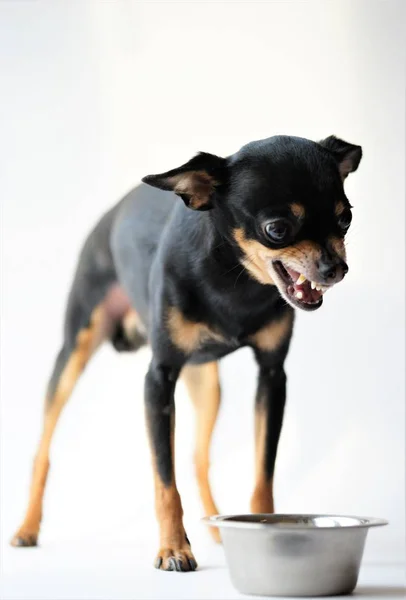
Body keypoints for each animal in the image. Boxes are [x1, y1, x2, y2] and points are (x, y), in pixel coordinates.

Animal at [11, 135, 362, 572]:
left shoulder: (271, 375)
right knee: (43, 450)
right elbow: (165, 480)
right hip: (74, 352)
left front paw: (265, 532)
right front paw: (174, 548)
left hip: (206, 382)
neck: (233, 279)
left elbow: (262, 474)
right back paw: (28, 527)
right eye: (277, 229)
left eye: (345, 219)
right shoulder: (159, 380)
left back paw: (217, 527)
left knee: (198, 457)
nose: (336, 269)